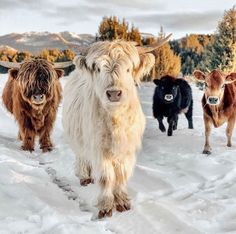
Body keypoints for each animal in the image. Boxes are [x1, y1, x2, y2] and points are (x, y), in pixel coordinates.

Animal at [61, 36, 171, 218]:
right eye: (98, 68)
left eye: (128, 68)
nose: (113, 93)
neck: (115, 120)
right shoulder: (99, 148)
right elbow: (106, 177)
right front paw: (106, 206)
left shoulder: (127, 148)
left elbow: (121, 175)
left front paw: (122, 201)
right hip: (78, 137)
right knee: (82, 156)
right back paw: (84, 176)